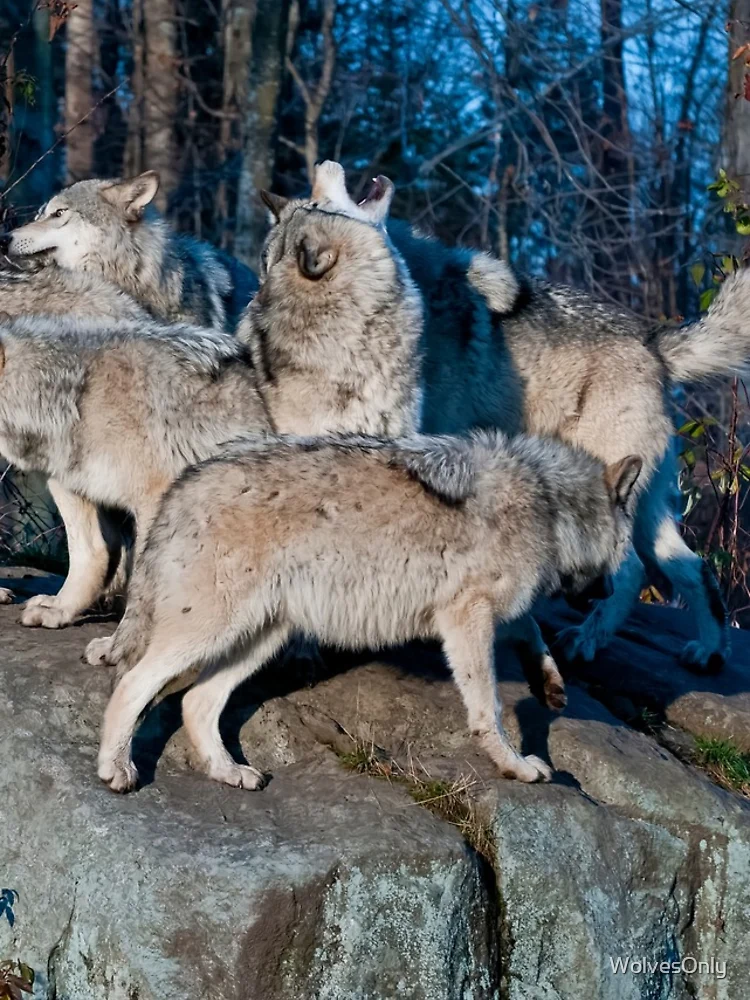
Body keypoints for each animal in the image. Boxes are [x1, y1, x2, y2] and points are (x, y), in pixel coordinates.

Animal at [94, 431, 641, 793]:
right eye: (623, 551)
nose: (610, 589)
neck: (549, 505)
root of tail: (184, 481)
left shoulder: (477, 613)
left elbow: (530, 627)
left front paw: (549, 683)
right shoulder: (466, 615)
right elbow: (488, 707)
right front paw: (514, 764)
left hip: (261, 637)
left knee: (195, 702)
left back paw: (228, 772)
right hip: (212, 631)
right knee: (132, 684)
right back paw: (118, 770)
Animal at [385, 220, 750, 673]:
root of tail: (653, 342)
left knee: (631, 572)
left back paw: (587, 640)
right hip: (647, 512)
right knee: (694, 568)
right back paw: (709, 651)